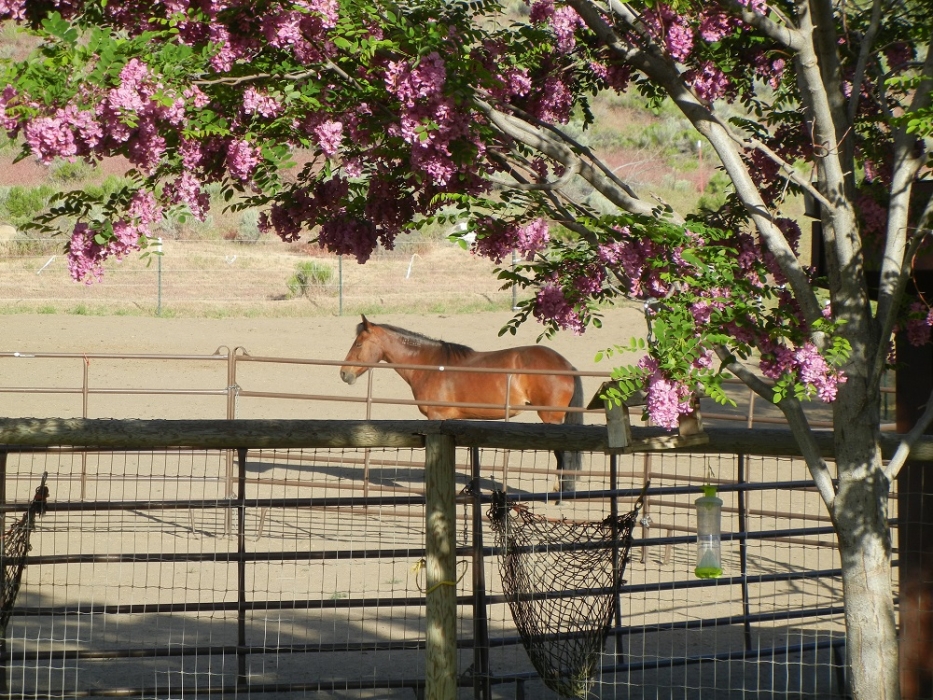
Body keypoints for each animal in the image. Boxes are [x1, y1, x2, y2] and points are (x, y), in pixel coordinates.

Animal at [339, 315, 584, 493]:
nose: (344, 374)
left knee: (563, 454)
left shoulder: (436, 419)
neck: (430, 365)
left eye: (358, 344)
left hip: (551, 419)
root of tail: (566, 365)